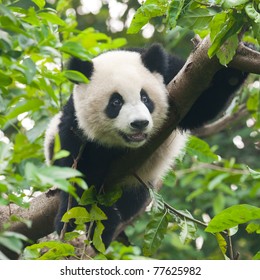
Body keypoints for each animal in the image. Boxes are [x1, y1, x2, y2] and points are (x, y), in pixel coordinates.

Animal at [45, 43, 248, 249]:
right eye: (116, 102)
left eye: (145, 98)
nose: (139, 123)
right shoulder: (76, 124)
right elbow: (80, 172)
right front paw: (86, 220)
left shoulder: (176, 78)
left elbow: (201, 106)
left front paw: (236, 63)